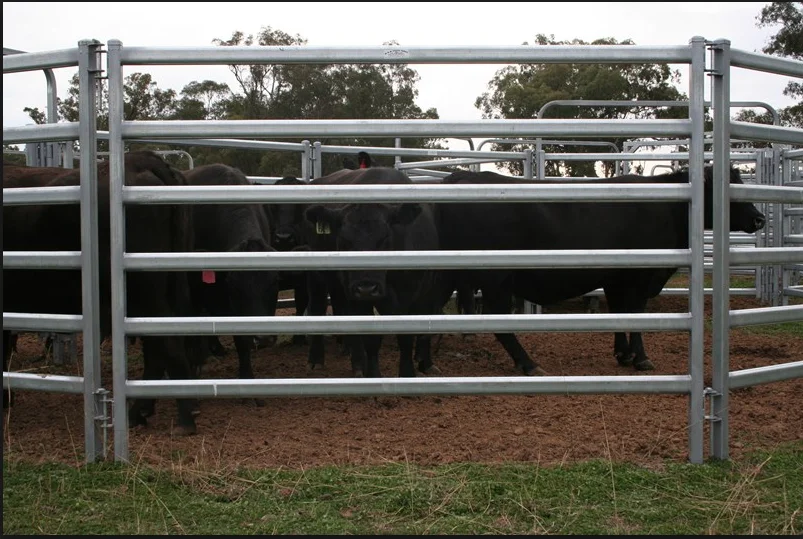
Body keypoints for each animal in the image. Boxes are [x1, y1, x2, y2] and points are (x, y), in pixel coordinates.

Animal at [302, 166, 442, 378]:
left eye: (384, 238)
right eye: (345, 240)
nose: (366, 288)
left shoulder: (417, 293)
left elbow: (408, 335)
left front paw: (409, 372)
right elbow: (370, 339)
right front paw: (372, 374)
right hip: (321, 276)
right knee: (318, 307)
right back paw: (322, 360)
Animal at [433, 166, 766, 375]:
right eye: (729, 190)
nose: (760, 218)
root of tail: (460, 177)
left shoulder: (615, 277)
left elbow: (619, 312)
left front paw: (623, 353)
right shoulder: (640, 277)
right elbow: (635, 314)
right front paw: (641, 358)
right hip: (495, 277)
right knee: (499, 321)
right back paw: (528, 363)